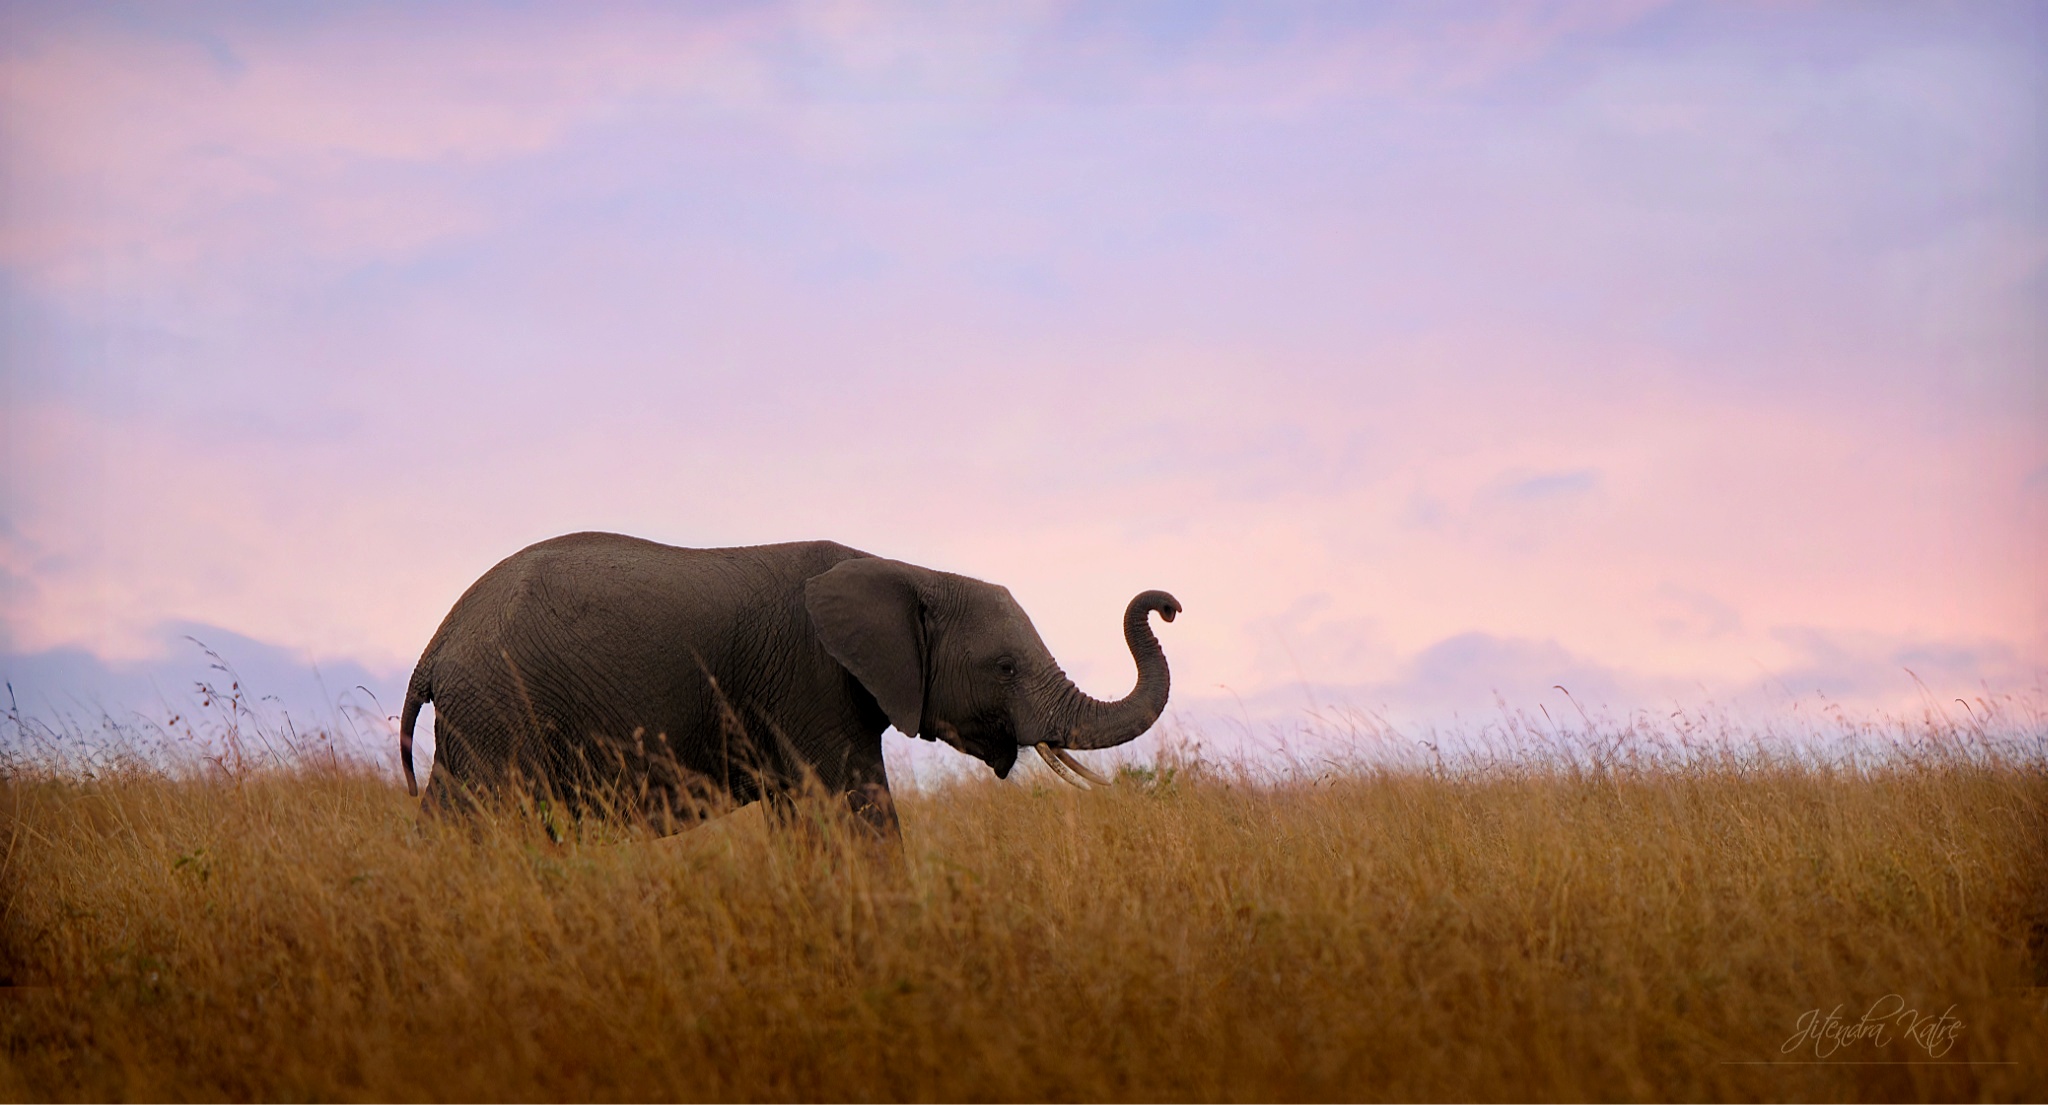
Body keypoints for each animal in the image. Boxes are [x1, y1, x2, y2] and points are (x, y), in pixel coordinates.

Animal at [399, 532, 1180, 836]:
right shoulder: (810, 683)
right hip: (498, 709)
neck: (905, 569)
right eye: (1007, 667)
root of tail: (436, 645)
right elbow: (860, 815)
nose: (1167, 604)